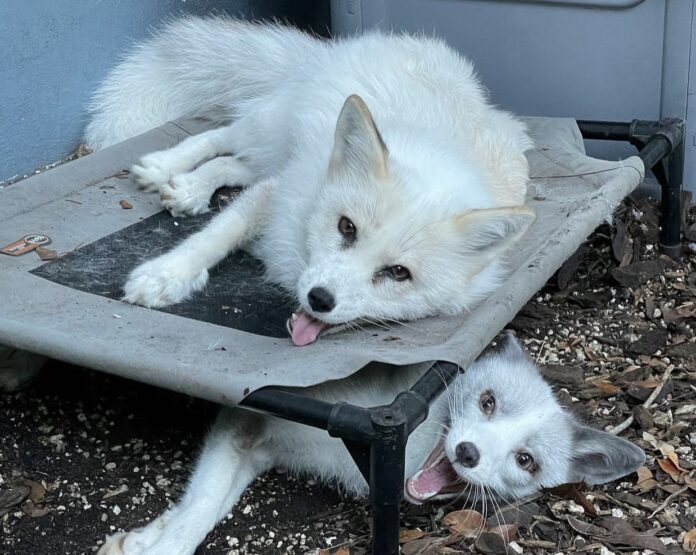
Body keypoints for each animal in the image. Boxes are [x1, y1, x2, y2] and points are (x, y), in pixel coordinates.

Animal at [85, 17, 540, 346]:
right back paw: (164, 167)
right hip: (270, 128)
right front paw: (165, 276)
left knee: (233, 163)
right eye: (347, 227)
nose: (319, 299)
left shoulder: (281, 182)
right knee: (220, 137)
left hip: (275, 153)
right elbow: (213, 237)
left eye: (399, 273)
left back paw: (191, 187)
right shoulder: (278, 191)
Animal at [98, 334, 648, 555]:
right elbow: (203, 503)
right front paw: (155, 543)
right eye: (488, 402)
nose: (467, 454)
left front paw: (149, 536)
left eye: (525, 460)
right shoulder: (245, 415)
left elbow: (209, 502)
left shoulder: (259, 446)